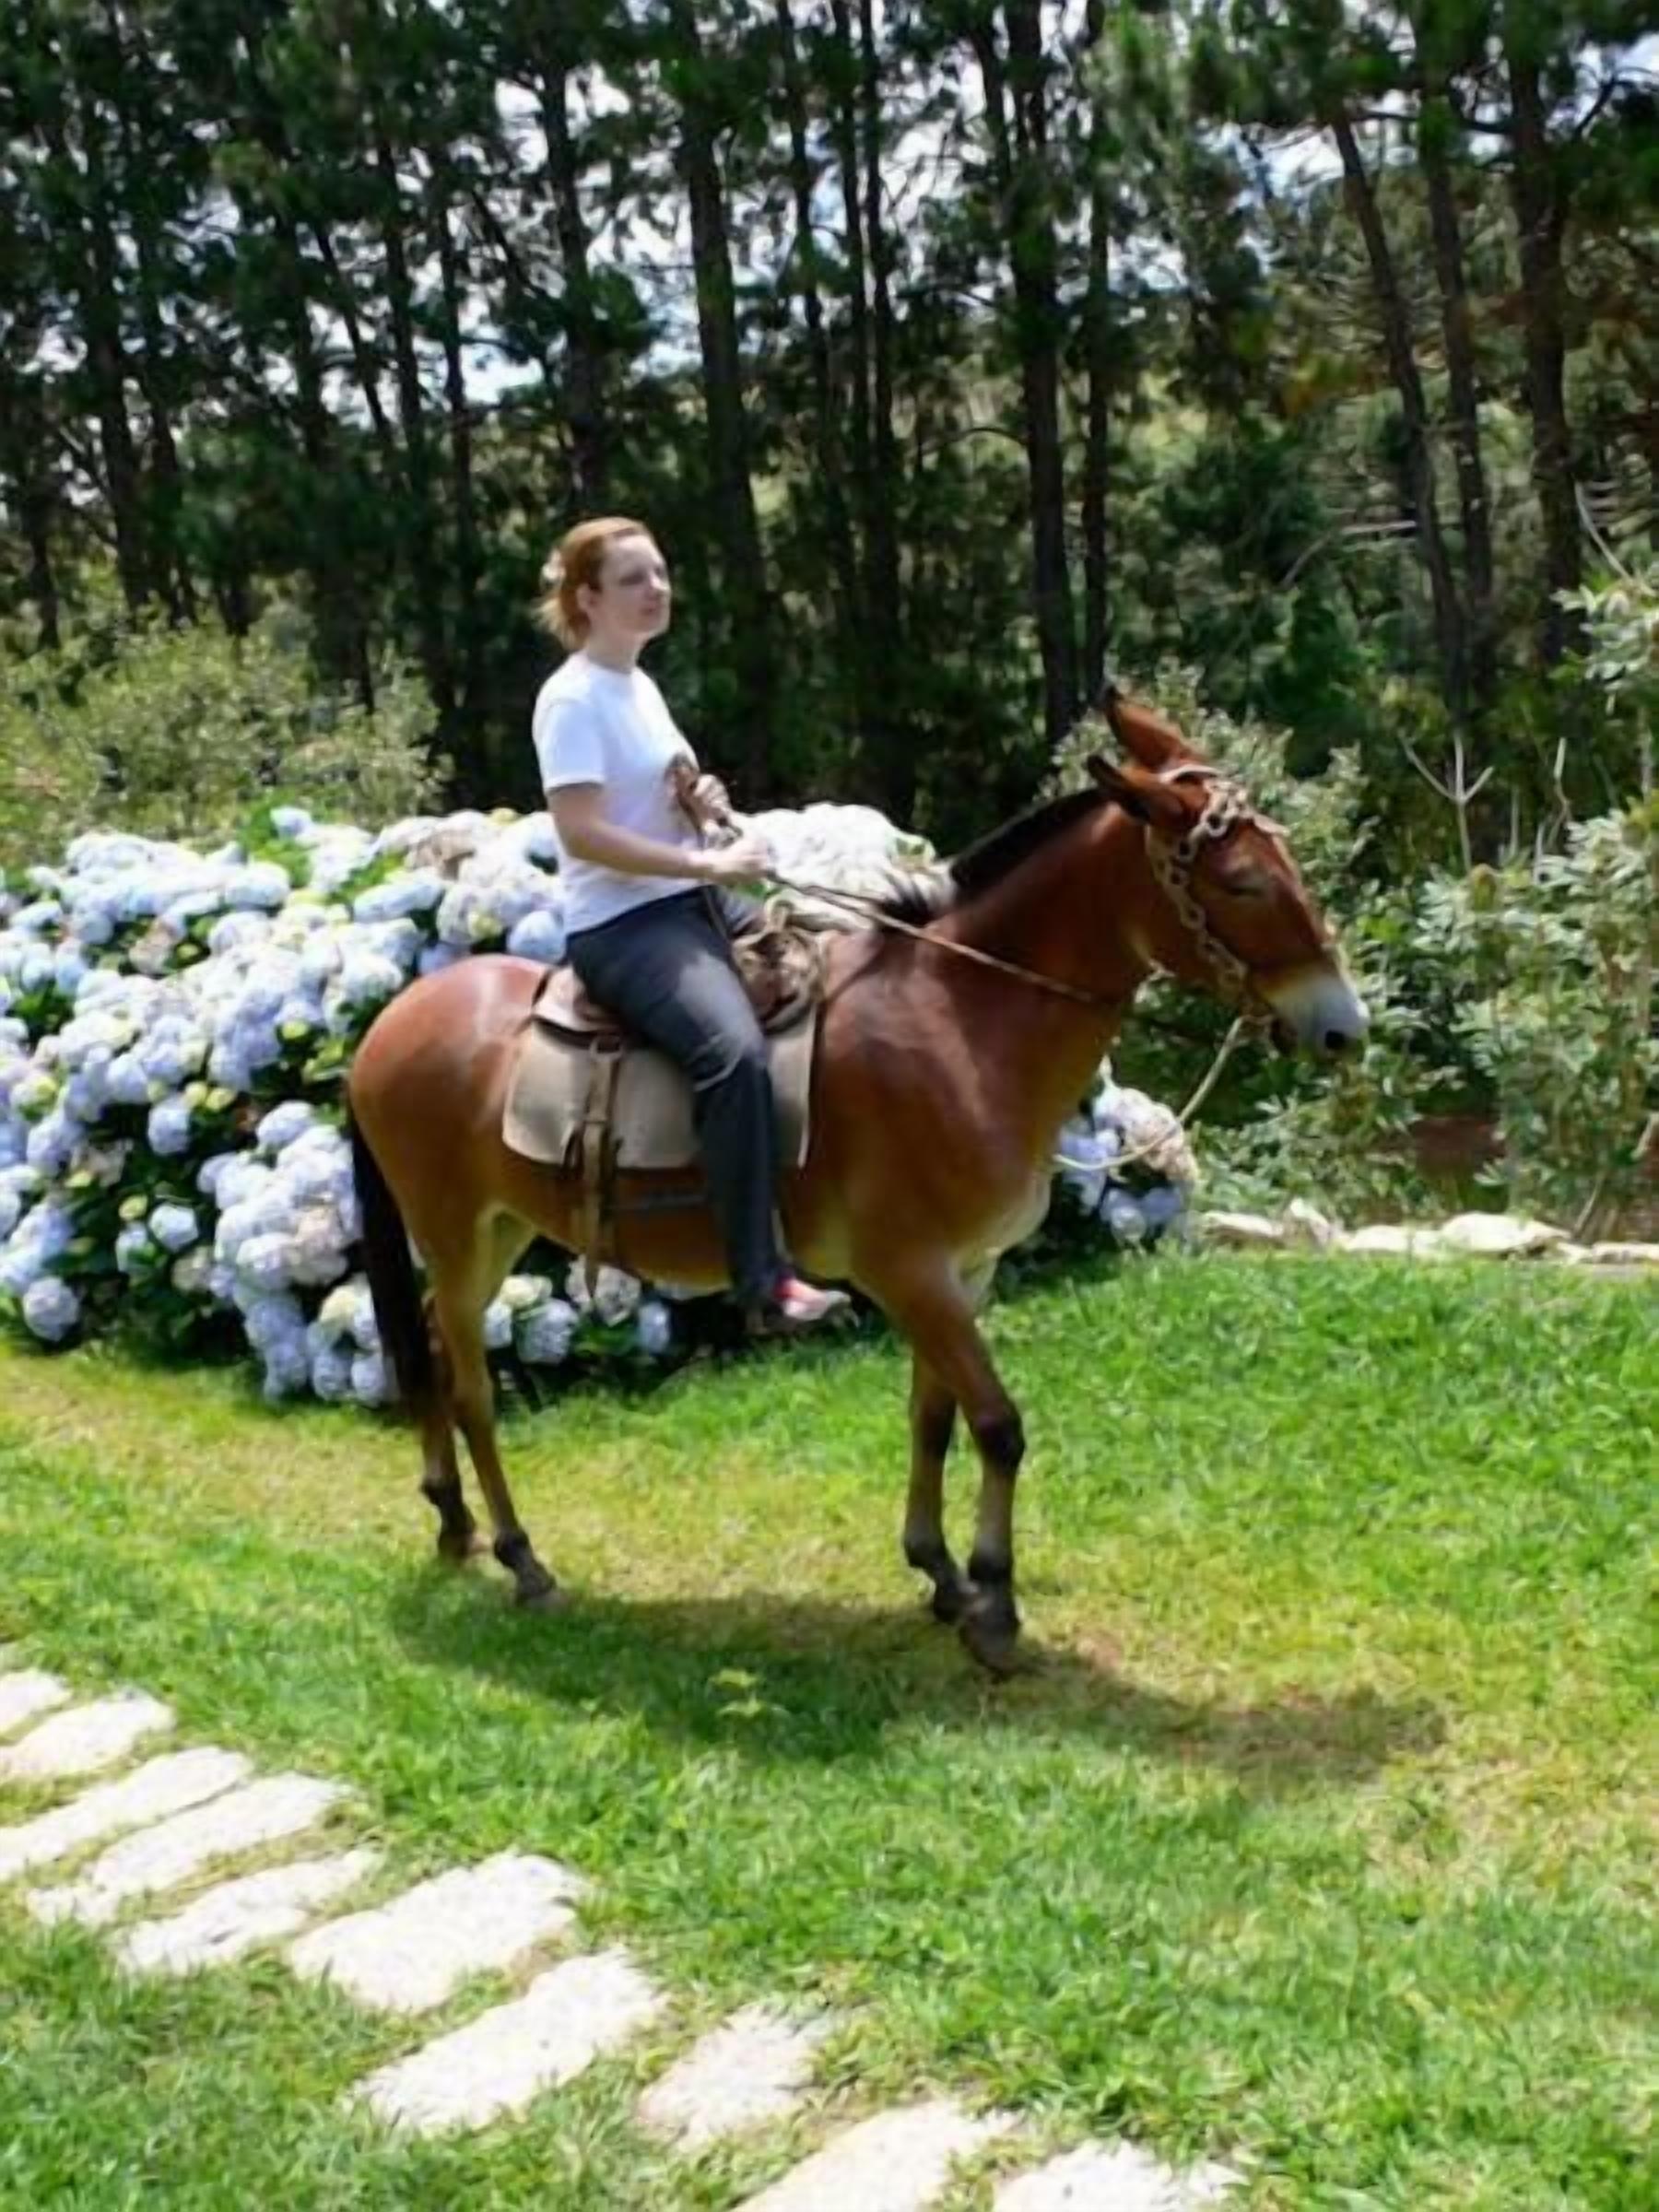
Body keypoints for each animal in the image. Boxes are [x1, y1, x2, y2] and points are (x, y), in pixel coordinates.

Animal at [347, 690, 1367, 1674]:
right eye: (1242, 882)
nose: (1342, 1028)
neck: (960, 1017)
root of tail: (388, 1021)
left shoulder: (960, 1273)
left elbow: (933, 1418)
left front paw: (942, 1575)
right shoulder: (910, 1271)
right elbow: (997, 1425)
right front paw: (996, 1607)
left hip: (502, 1226)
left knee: (432, 1343)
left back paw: (452, 1519)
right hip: (452, 1229)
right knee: (472, 1387)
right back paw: (521, 1556)